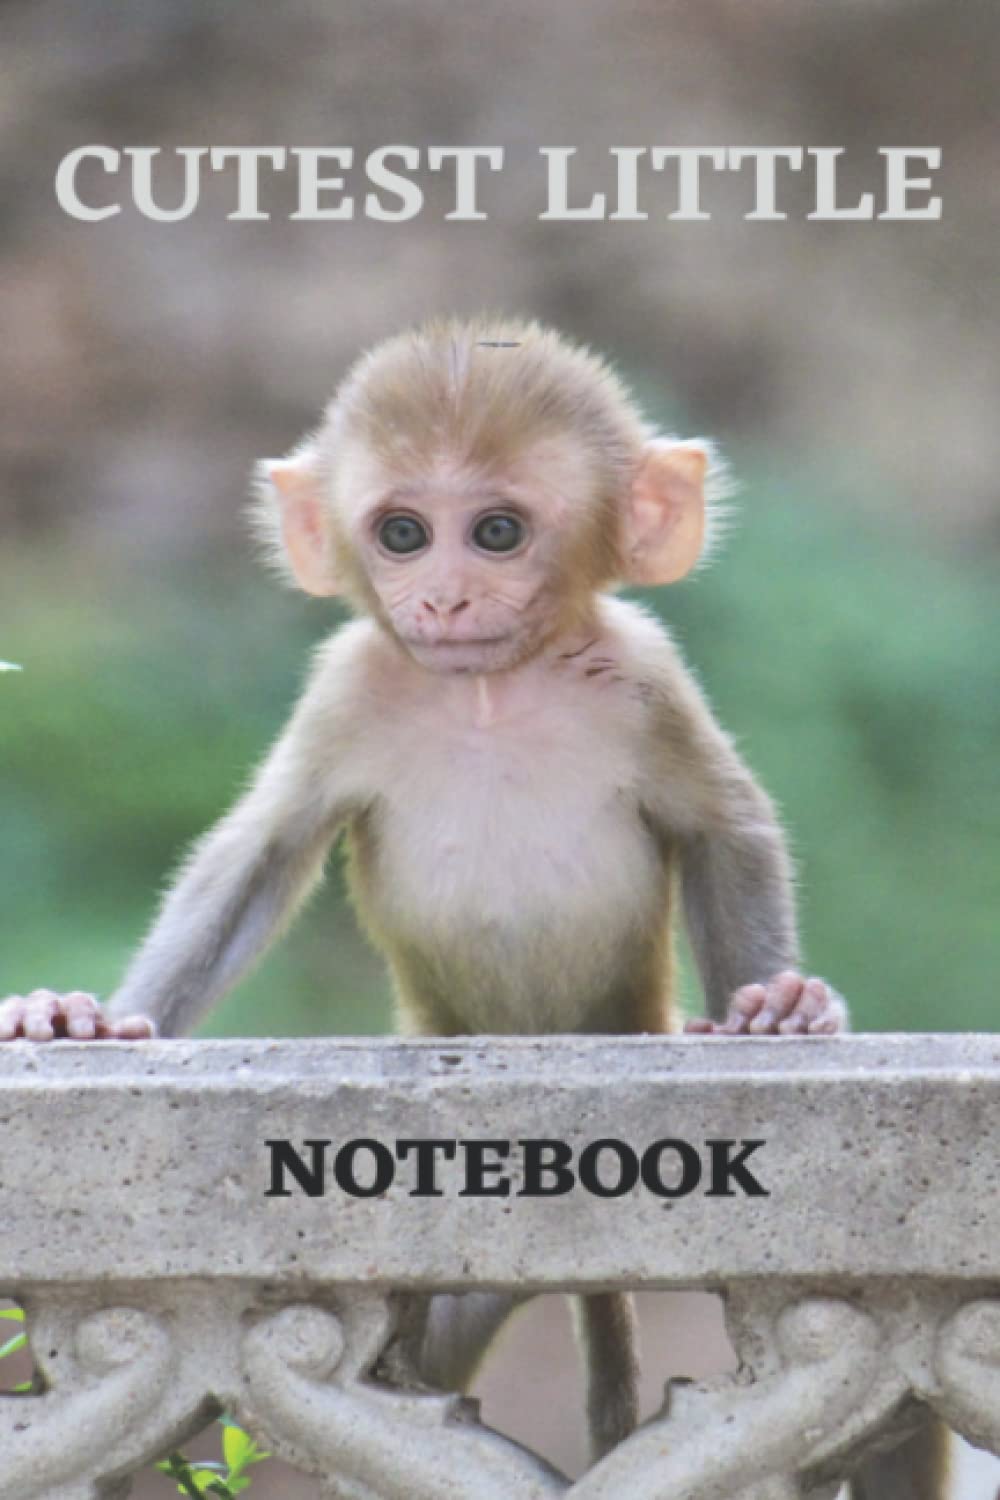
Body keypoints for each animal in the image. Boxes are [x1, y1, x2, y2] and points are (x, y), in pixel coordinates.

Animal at [0, 319, 945, 1494]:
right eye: (402, 532)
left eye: (497, 532)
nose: (443, 597)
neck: (489, 690)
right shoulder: (348, 684)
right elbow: (257, 856)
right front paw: (84, 1019)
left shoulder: (647, 674)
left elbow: (727, 830)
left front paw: (776, 1010)